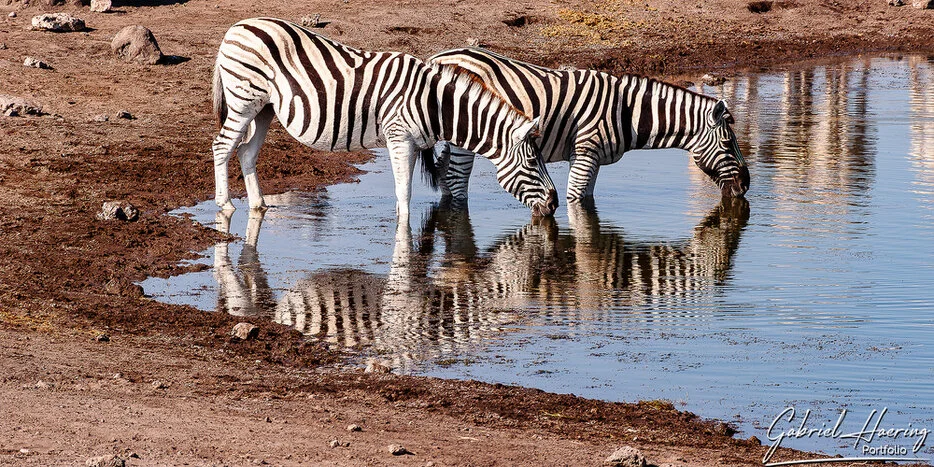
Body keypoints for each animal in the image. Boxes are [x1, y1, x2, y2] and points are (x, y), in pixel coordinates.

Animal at [211, 18, 558, 219]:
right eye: (532, 163)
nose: (554, 205)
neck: (434, 103)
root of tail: (238, 26)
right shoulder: (399, 138)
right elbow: (404, 195)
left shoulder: (416, 143)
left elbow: (407, 192)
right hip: (243, 101)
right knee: (221, 147)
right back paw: (225, 205)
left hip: (264, 108)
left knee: (246, 151)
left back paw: (258, 205)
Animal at [426, 48, 750, 202]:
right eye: (727, 143)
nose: (746, 186)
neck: (629, 113)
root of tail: (437, 57)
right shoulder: (585, 153)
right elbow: (576, 201)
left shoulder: (592, 160)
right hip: (465, 135)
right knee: (455, 180)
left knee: (444, 177)